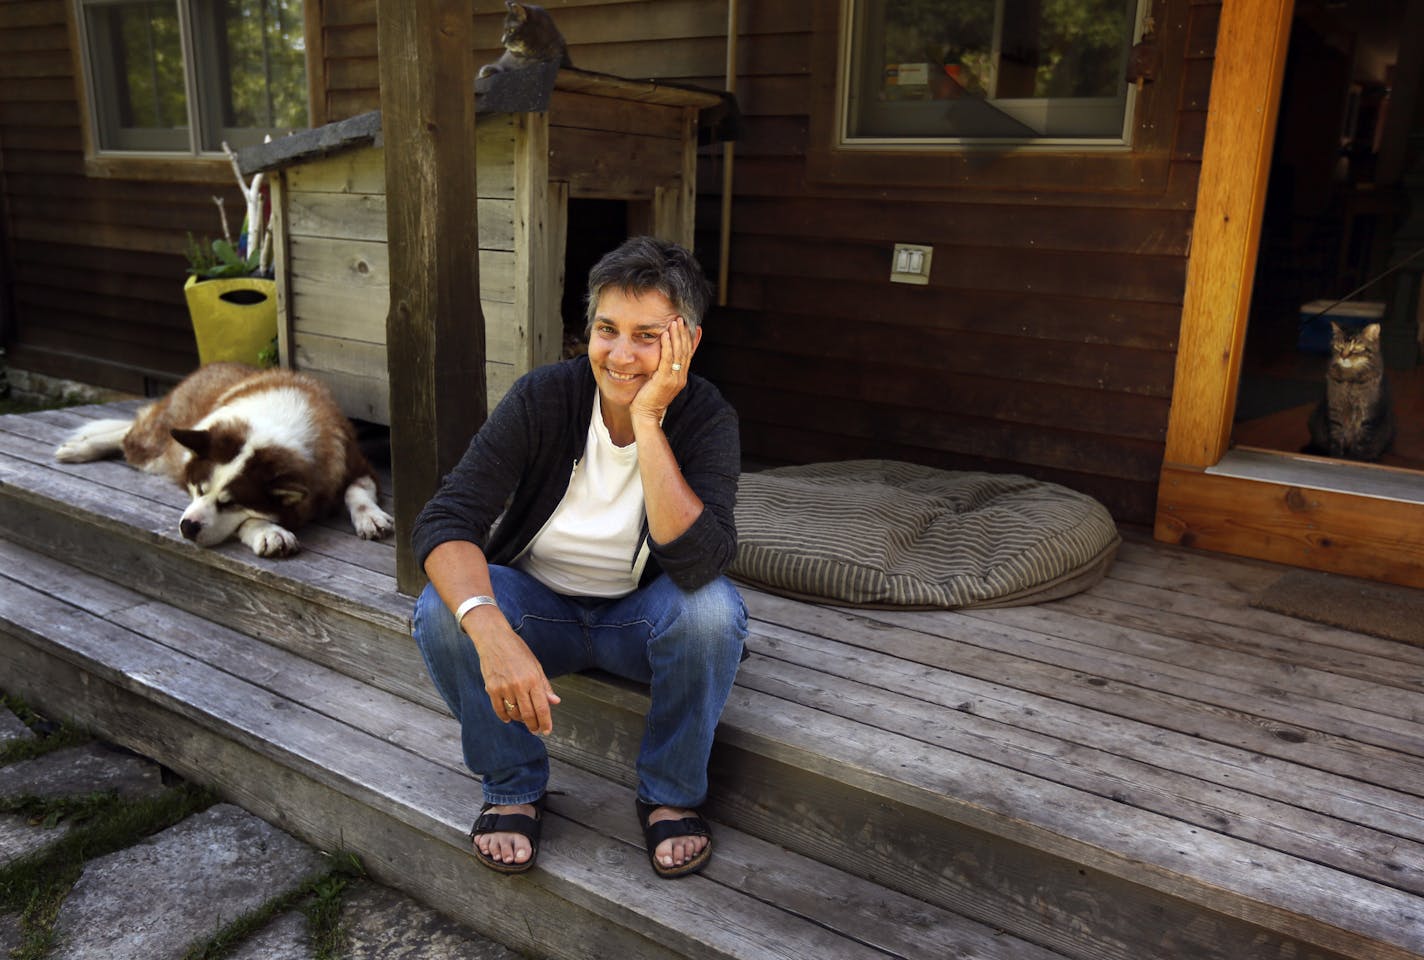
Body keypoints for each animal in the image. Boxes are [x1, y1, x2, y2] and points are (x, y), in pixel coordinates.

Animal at [1304, 319, 1395, 461]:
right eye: (1339, 346)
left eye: (1356, 348)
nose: (1344, 356)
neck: (1351, 378)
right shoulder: (1335, 411)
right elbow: (1336, 442)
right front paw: (1337, 458)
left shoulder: (1366, 416)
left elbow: (1360, 445)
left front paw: (1355, 460)